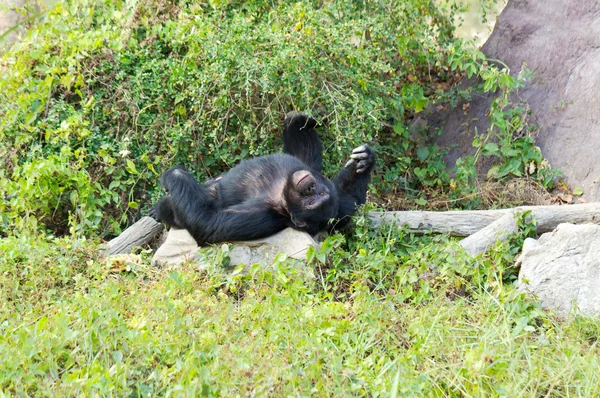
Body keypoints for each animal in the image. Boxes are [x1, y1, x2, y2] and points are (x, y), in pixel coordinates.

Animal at [149, 110, 376, 244]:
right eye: (319, 193)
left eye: (313, 201)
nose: (311, 188)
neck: (283, 189)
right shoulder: (306, 171)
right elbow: (347, 199)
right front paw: (363, 161)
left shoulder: (264, 215)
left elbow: (208, 222)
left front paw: (175, 173)